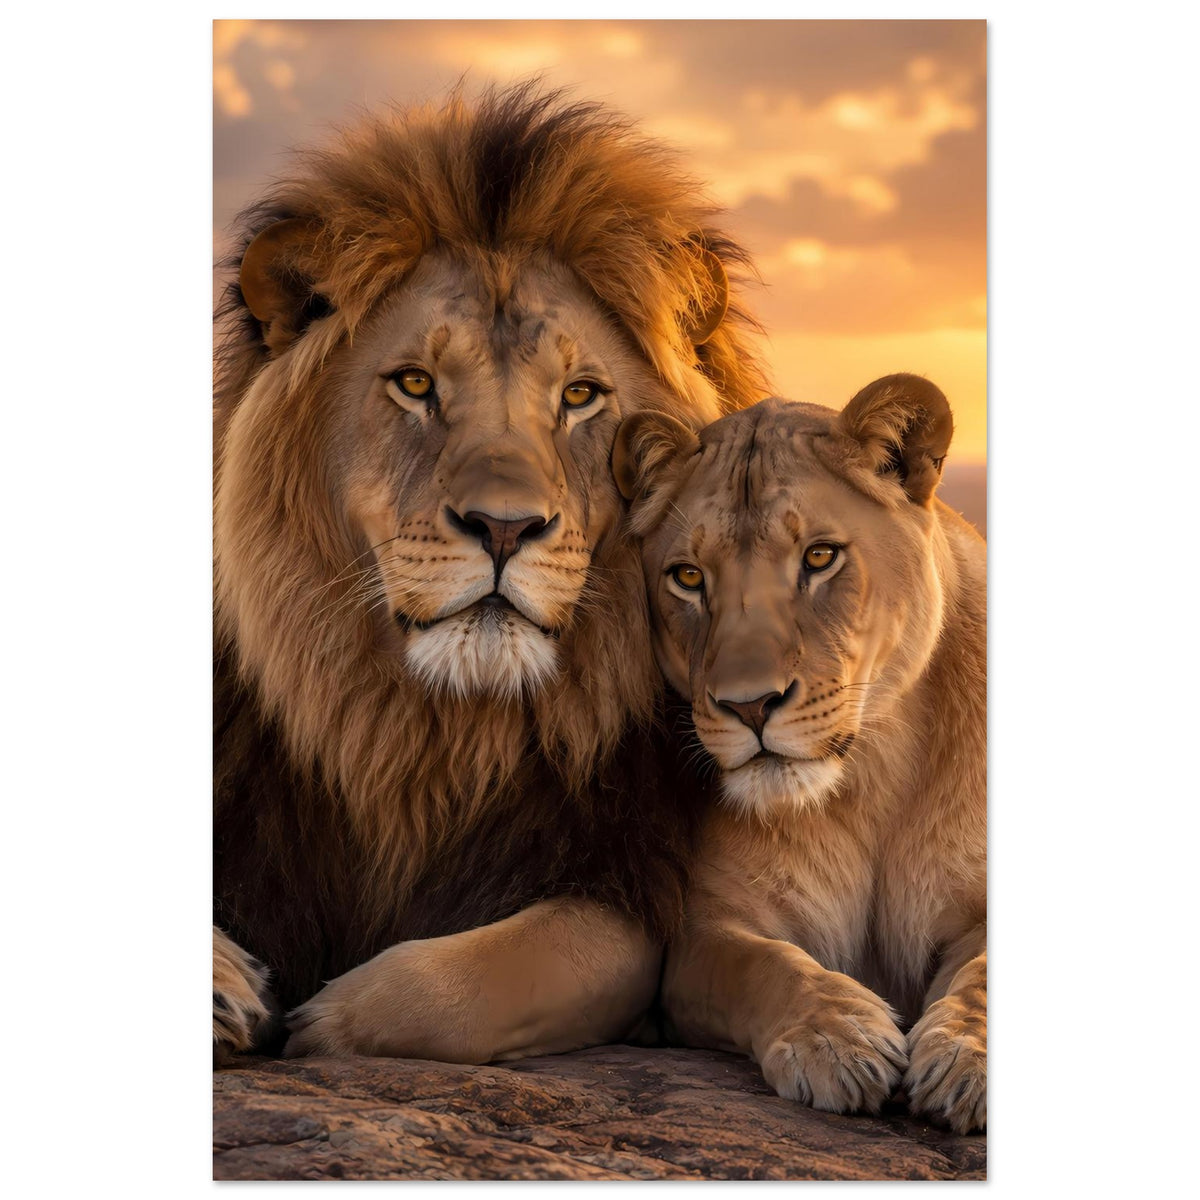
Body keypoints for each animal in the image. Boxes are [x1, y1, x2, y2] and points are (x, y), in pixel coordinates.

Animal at [213, 84, 769, 1064]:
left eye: (580, 396)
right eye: (414, 384)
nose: (505, 528)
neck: (424, 742)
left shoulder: (621, 878)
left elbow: (486, 977)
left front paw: (325, 1019)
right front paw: (223, 990)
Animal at [612, 375, 986, 1133]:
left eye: (819, 557)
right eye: (688, 577)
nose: (750, 706)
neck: (871, 778)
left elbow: (985, 973)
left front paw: (965, 1059)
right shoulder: (700, 936)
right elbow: (765, 966)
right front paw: (836, 1040)